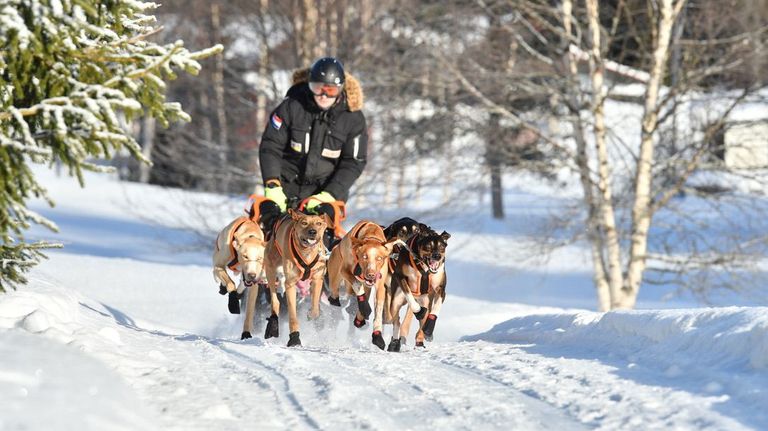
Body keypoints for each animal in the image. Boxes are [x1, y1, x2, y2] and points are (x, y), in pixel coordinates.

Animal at [256, 209, 332, 348]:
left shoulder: (317, 279)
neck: (306, 253)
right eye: (304, 223)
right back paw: (273, 324)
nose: (312, 231)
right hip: (270, 269)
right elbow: (292, 315)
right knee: (275, 300)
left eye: (319, 223)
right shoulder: (290, 284)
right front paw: (295, 338)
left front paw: (311, 314)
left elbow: (315, 309)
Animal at [324, 221, 402, 350]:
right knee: (335, 294)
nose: (371, 274)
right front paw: (365, 308)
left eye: (379, 258)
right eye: (364, 257)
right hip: (336, 277)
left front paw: (377, 336)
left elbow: (378, 310)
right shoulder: (345, 271)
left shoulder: (380, 286)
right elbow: (357, 285)